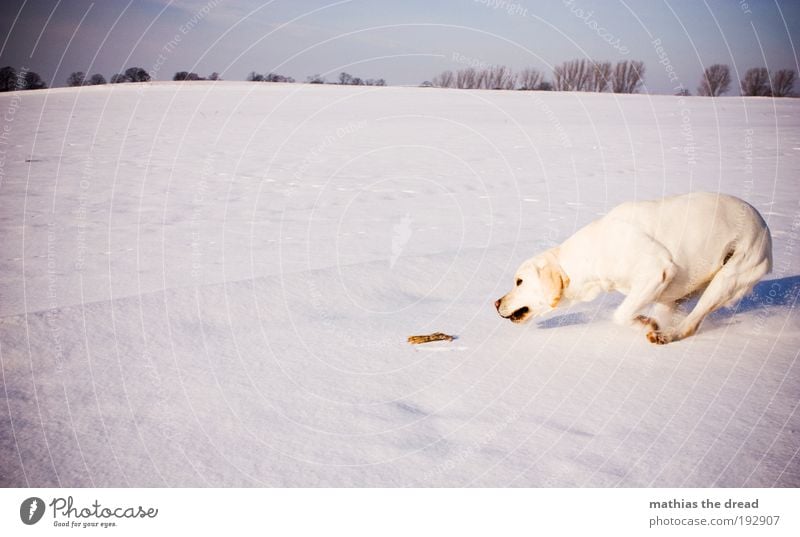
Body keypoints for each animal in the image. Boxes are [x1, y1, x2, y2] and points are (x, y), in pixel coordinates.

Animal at [496, 192, 772, 344]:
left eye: (519, 281)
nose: (496, 303)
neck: (591, 253)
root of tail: (764, 226)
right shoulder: (665, 291)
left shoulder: (657, 271)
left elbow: (620, 315)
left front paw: (647, 324)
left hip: (729, 276)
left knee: (692, 323)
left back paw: (666, 336)